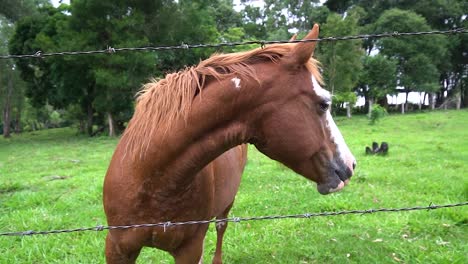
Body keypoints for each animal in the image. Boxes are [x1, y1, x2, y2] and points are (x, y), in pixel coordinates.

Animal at [104, 23, 356, 262]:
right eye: (323, 104)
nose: (350, 165)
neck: (152, 177)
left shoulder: (190, 249)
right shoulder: (116, 248)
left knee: (221, 227)